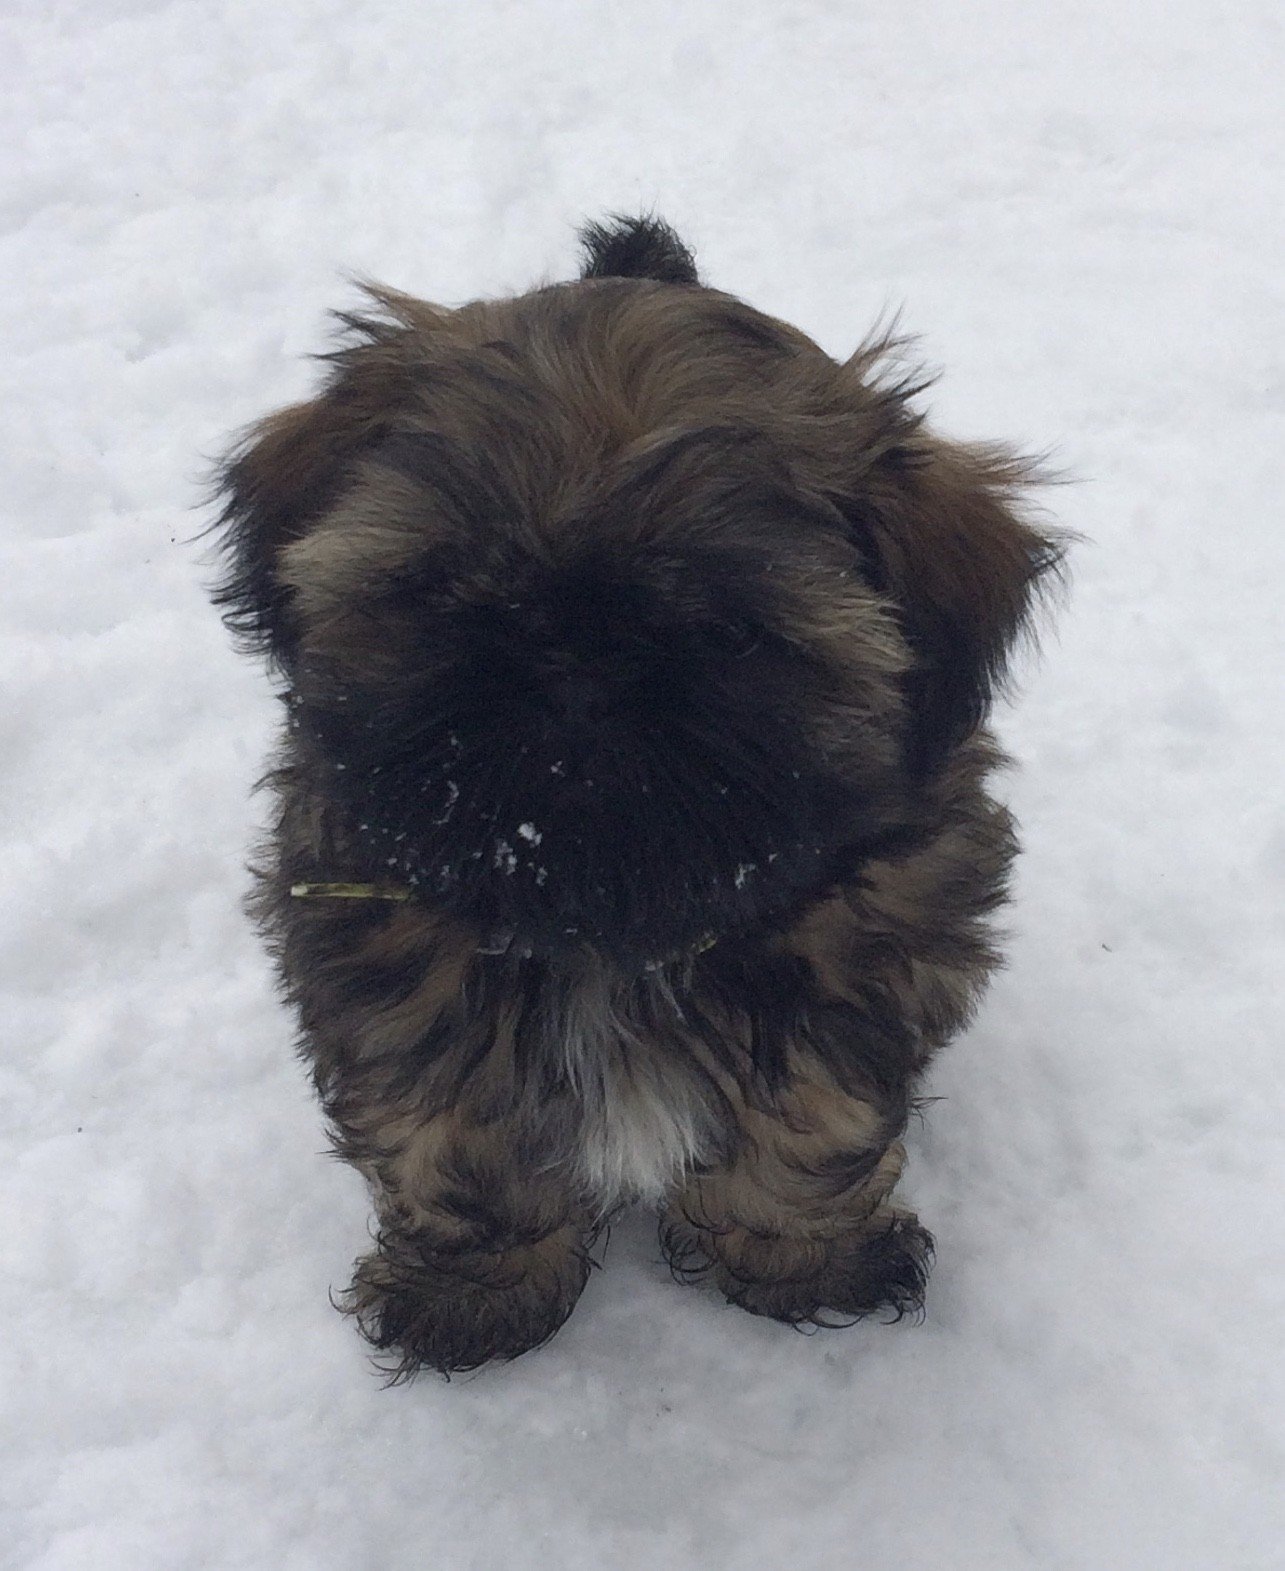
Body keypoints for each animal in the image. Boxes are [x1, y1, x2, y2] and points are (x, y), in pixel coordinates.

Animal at [210, 218, 1055, 1376]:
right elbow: (452, 1130)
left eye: (731, 630)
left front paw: (798, 1258)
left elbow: (811, 1113)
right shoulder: (387, 963)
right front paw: (476, 1290)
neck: (604, 926)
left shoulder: (864, 953)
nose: (576, 664)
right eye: (448, 584)